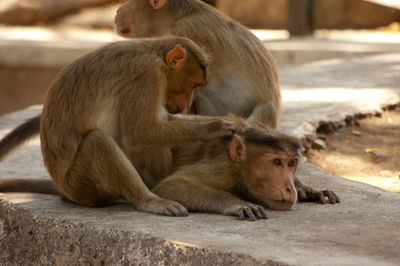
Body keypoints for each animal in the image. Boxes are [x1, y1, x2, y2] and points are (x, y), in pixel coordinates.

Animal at [0, 37, 238, 216]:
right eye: (195, 84)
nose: (188, 104)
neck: (155, 55)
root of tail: (63, 189)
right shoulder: (148, 76)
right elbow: (141, 131)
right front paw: (213, 128)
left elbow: (163, 121)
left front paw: (227, 122)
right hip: (81, 186)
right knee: (99, 142)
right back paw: (150, 200)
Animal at [152, 116, 340, 220]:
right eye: (277, 162)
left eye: (291, 164)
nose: (289, 188)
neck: (239, 169)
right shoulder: (223, 170)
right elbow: (172, 185)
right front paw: (238, 204)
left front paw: (308, 189)